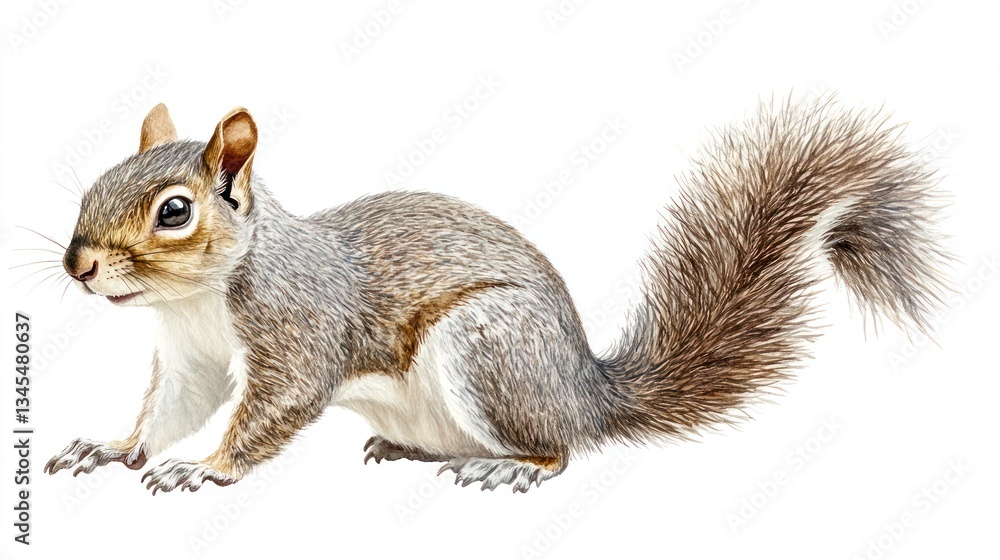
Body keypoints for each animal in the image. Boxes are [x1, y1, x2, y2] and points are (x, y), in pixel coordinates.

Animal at [44, 97, 948, 494]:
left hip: (488, 348)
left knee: (556, 452)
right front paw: (111, 450)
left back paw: (505, 469)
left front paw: (206, 470)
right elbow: (167, 413)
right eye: (95, 182)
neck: (197, 301)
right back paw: (415, 452)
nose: (78, 265)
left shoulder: (297, 328)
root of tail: (584, 390)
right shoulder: (190, 360)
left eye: (174, 211)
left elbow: (273, 409)